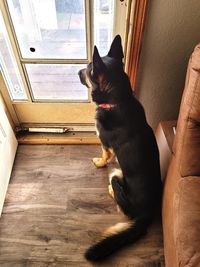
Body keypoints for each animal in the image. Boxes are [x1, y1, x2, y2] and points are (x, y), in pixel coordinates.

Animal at [78, 35, 162, 262]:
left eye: (87, 70)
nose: (77, 71)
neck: (118, 100)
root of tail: (145, 215)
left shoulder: (104, 143)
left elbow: (104, 154)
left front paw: (99, 162)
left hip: (116, 175)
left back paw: (110, 189)